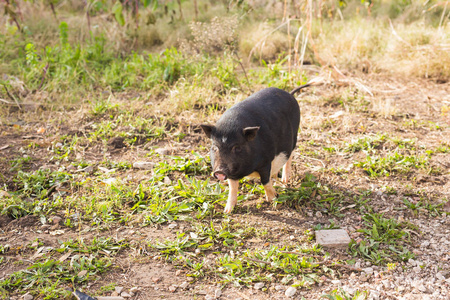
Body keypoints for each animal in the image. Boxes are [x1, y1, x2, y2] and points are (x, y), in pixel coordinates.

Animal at [201, 83, 310, 212]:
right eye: (215, 147)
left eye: (237, 147)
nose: (219, 171)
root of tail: (289, 94)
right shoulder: (231, 173)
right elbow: (232, 188)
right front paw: (227, 211)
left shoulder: (265, 161)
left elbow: (265, 181)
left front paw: (273, 199)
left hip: (295, 135)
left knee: (290, 155)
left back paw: (284, 180)